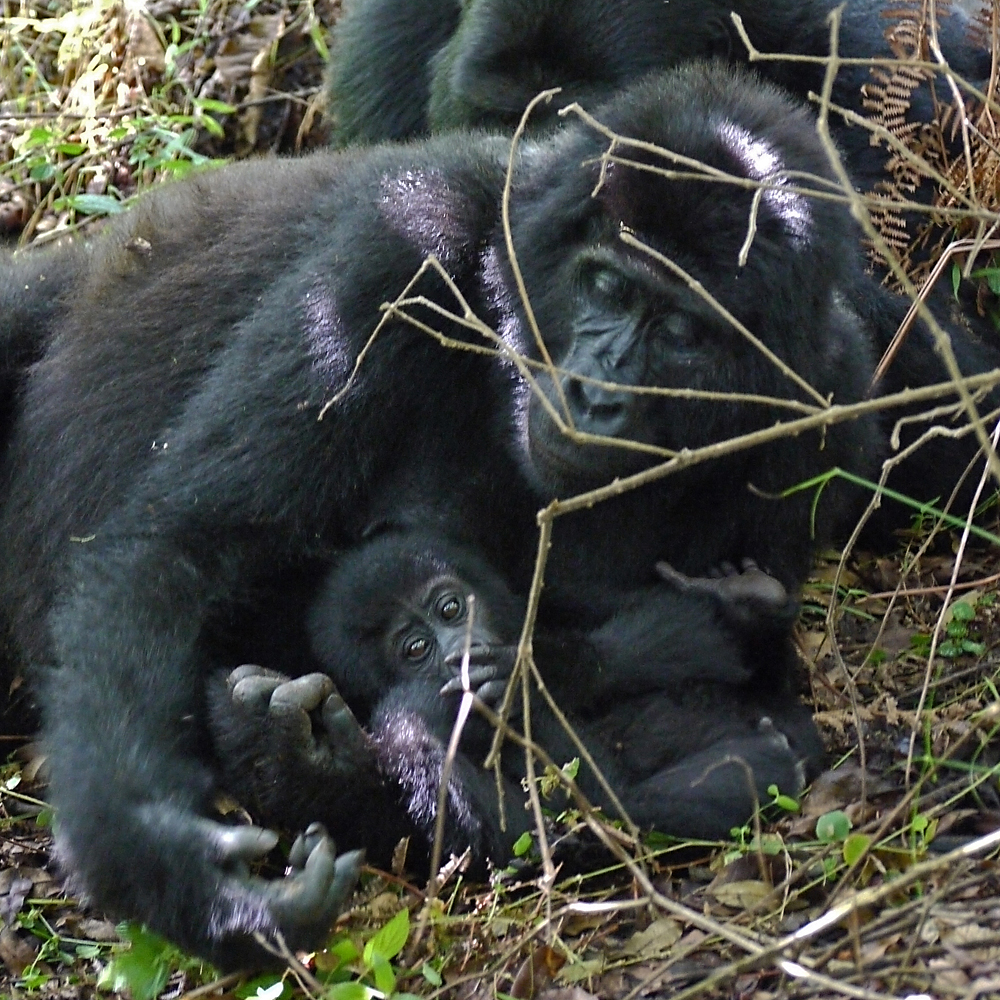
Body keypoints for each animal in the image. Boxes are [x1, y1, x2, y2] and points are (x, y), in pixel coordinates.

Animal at [207, 532, 824, 868]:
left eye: (451, 608)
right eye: (416, 648)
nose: (460, 652)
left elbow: (669, 637)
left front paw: (541, 670)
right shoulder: (411, 711)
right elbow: (556, 820)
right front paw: (295, 752)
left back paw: (745, 602)